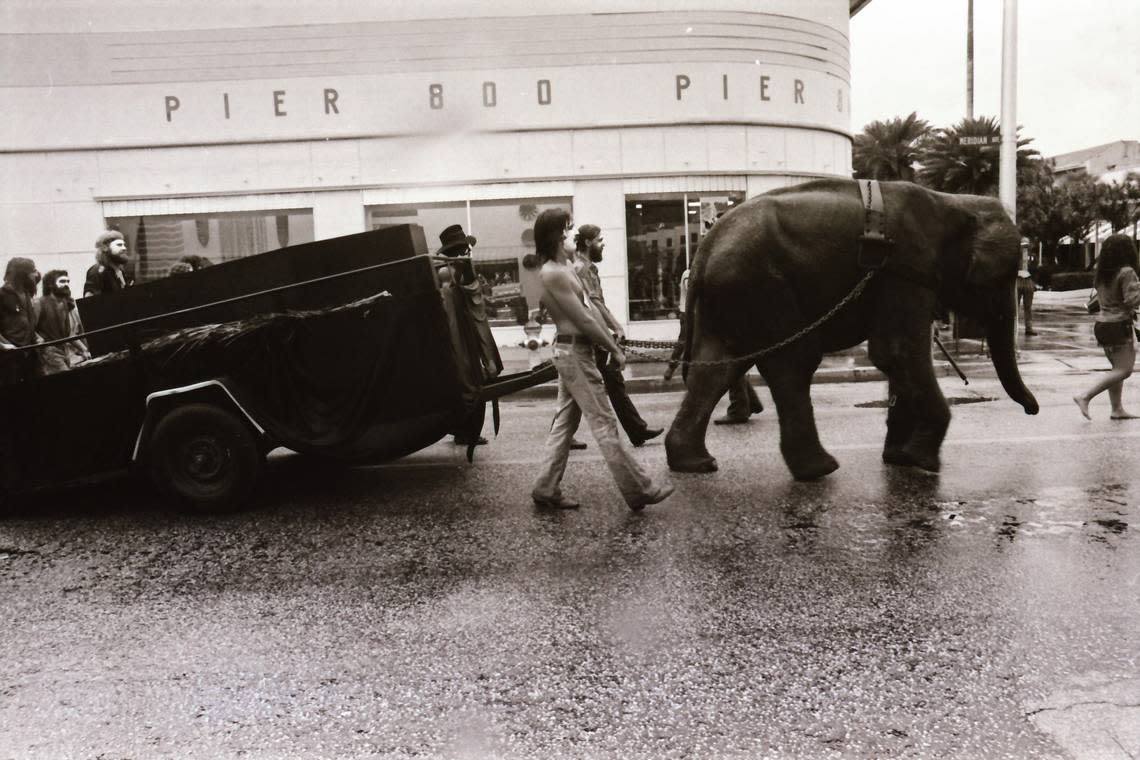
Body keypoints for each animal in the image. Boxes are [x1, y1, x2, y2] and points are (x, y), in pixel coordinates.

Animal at [665, 180, 1044, 480]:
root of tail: (704, 249)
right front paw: (923, 462)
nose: (1032, 411)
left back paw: (697, 464)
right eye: (1000, 278)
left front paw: (899, 459)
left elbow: (898, 358)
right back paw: (820, 470)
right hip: (759, 285)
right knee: (793, 362)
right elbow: (896, 352)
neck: (953, 200)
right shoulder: (905, 270)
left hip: (732, 295)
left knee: (718, 366)